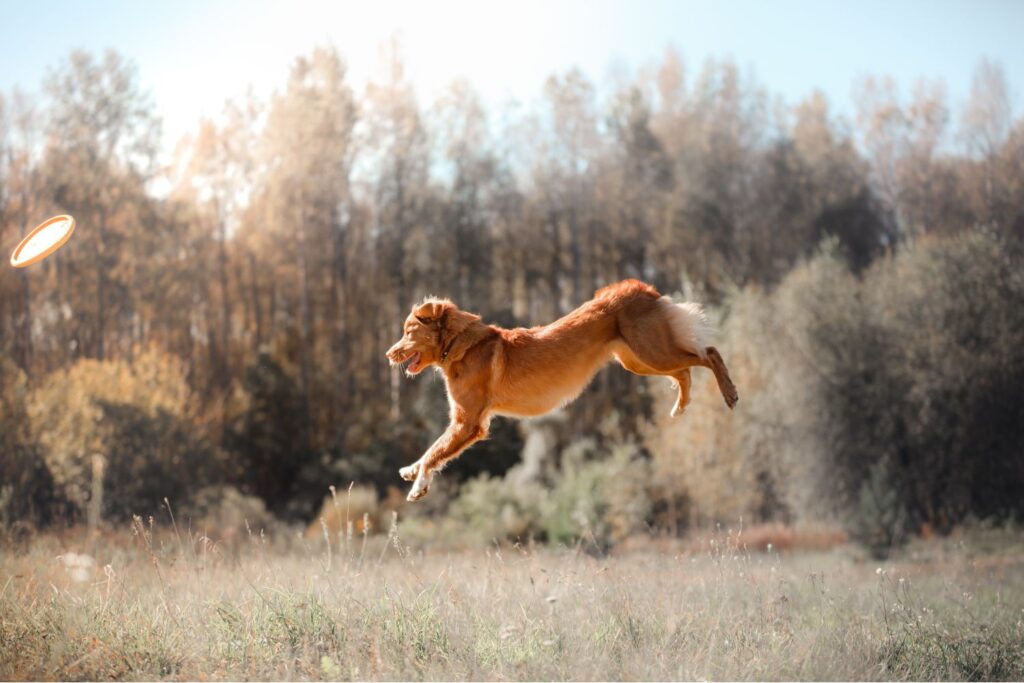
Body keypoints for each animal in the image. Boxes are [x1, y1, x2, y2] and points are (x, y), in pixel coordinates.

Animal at [385, 278, 737, 501]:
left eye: (408, 332)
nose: (389, 354)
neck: (460, 344)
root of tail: (639, 288)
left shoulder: (467, 422)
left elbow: (434, 451)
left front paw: (417, 486)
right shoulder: (465, 423)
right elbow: (432, 451)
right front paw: (411, 470)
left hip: (650, 351)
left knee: (709, 353)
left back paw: (730, 393)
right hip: (638, 360)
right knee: (686, 371)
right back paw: (681, 405)